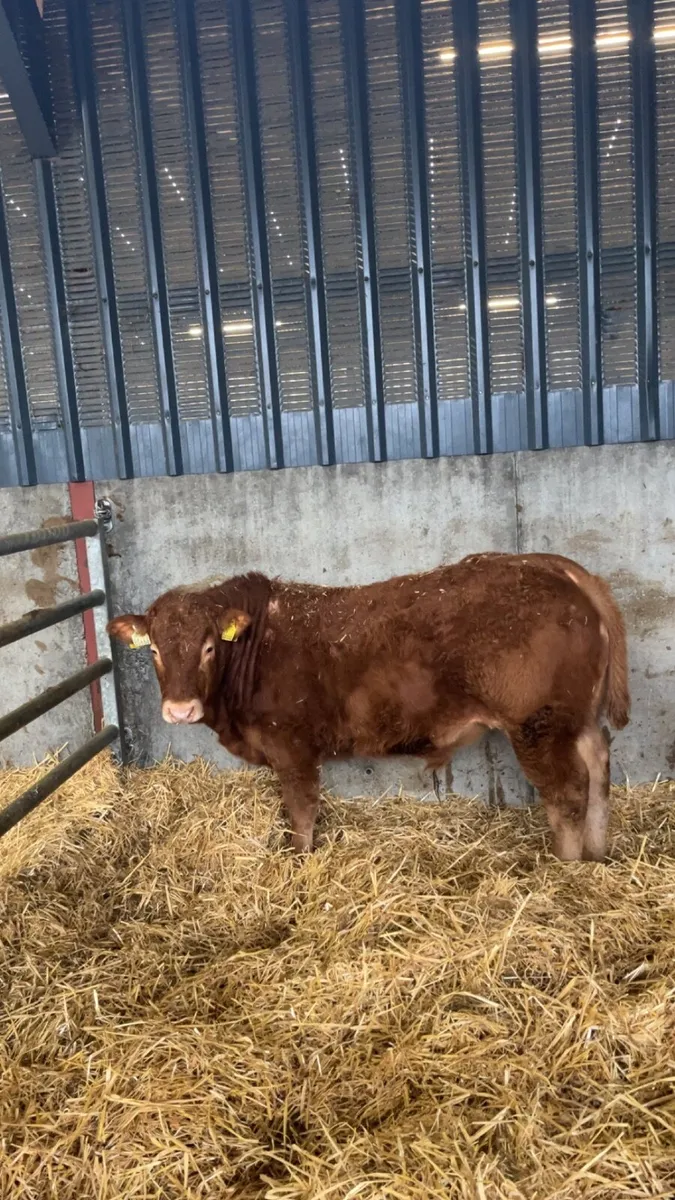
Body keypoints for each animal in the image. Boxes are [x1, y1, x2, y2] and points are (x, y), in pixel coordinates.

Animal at [107, 552, 629, 862]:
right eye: (154, 650)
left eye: (209, 647)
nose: (179, 710)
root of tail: (557, 567)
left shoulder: (291, 745)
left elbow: (301, 811)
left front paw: (300, 861)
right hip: (578, 717)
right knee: (599, 765)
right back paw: (597, 853)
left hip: (538, 724)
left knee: (567, 791)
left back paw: (565, 867)